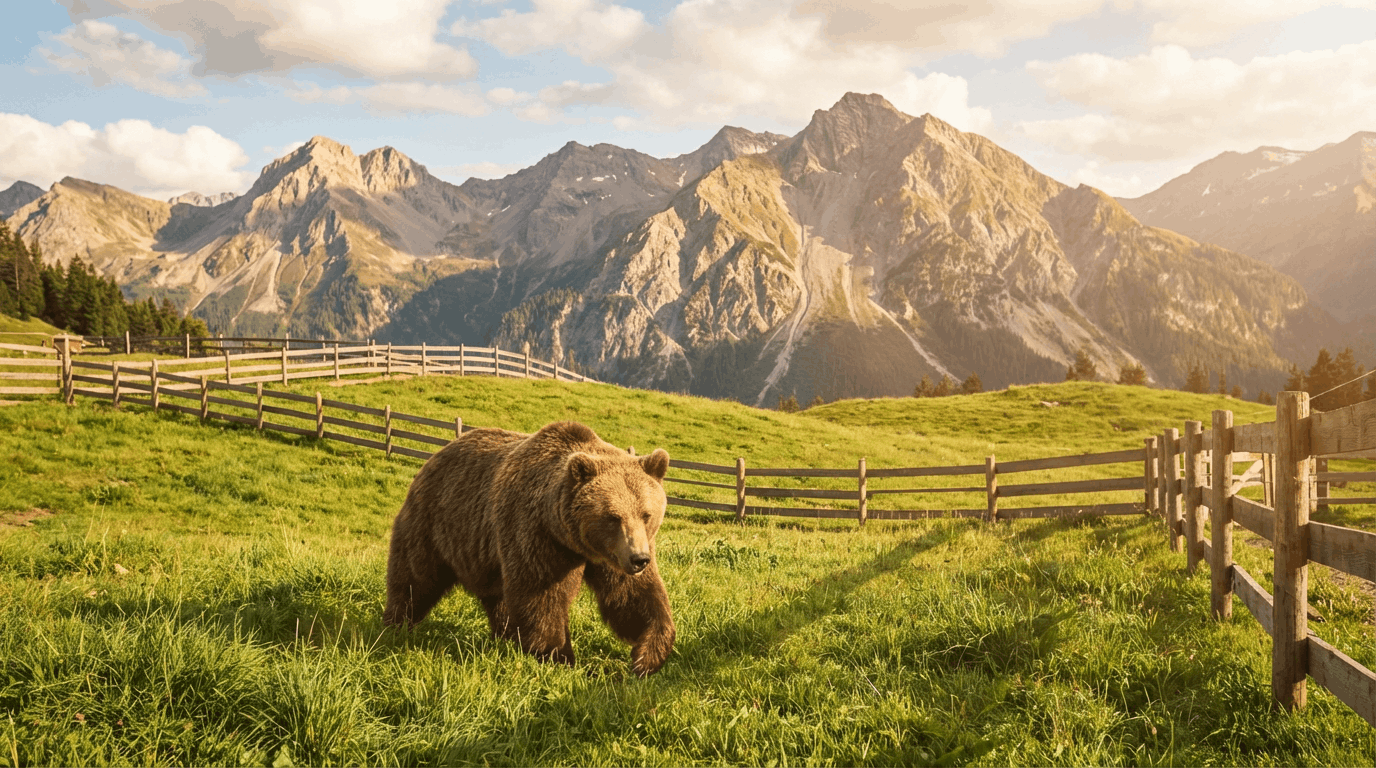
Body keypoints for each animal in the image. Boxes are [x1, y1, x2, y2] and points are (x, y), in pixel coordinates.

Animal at [383, 420, 676, 677]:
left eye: (646, 514)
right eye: (613, 517)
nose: (639, 559)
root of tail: (435, 455)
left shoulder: (609, 555)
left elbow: (632, 597)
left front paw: (647, 656)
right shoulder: (538, 535)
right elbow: (541, 597)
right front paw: (559, 657)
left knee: (498, 597)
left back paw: (504, 635)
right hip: (435, 524)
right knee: (415, 578)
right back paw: (395, 624)